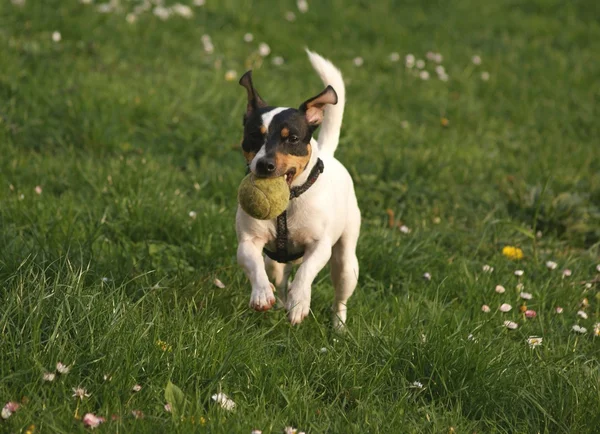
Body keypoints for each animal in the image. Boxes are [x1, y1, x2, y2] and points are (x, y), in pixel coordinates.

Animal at [234, 50, 358, 328]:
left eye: (291, 139)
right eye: (254, 136)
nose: (265, 164)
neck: (289, 202)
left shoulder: (320, 245)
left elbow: (306, 272)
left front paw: (300, 302)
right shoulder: (248, 241)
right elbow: (254, 265)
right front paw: (262, 294)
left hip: (346, 263)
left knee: (340, 297)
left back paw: (339, 326)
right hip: (276, 262)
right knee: (279, 278)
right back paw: (280, 302)